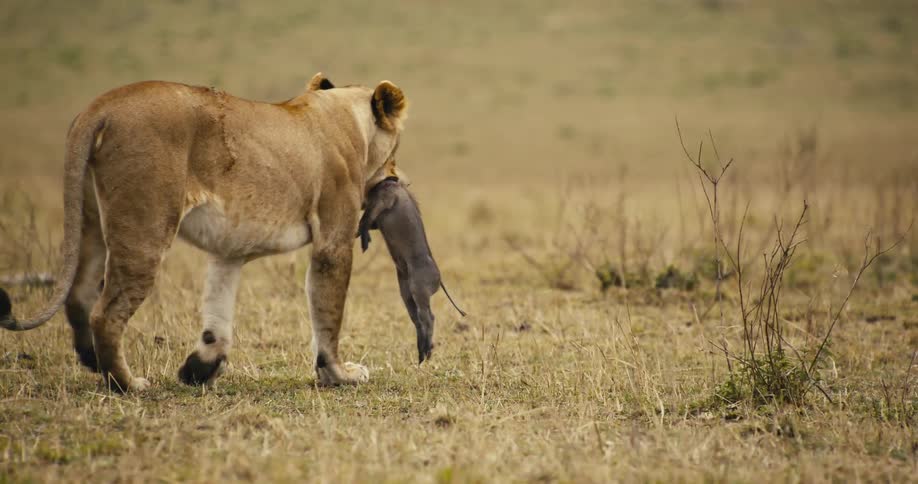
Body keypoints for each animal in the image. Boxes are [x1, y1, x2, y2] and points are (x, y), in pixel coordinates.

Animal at [0, 73, 408, 392]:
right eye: (395, 152)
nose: (399, 179)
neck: (344, 116)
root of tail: (100, 106)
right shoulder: (333, 240)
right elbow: (328, 313)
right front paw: (339, 374)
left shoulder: (229, 248)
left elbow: (218, 308)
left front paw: (200, 368)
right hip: (145, 227)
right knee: (106, 313)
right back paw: (127, 383)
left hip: (91, 223)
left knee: (80, 294)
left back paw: (91, 362)